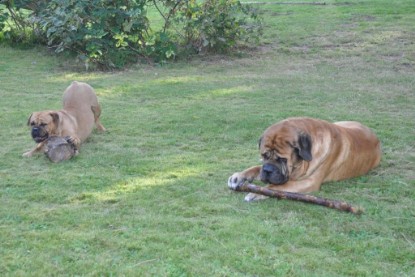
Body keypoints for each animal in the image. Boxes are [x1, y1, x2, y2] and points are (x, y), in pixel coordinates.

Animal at [229, 116, 382, 201]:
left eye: (282, 159)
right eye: (264, 155)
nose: (267, 170)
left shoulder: (309, 182)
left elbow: (280, 187)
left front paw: (255, 193)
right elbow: (256, 168)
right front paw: (238, 176)